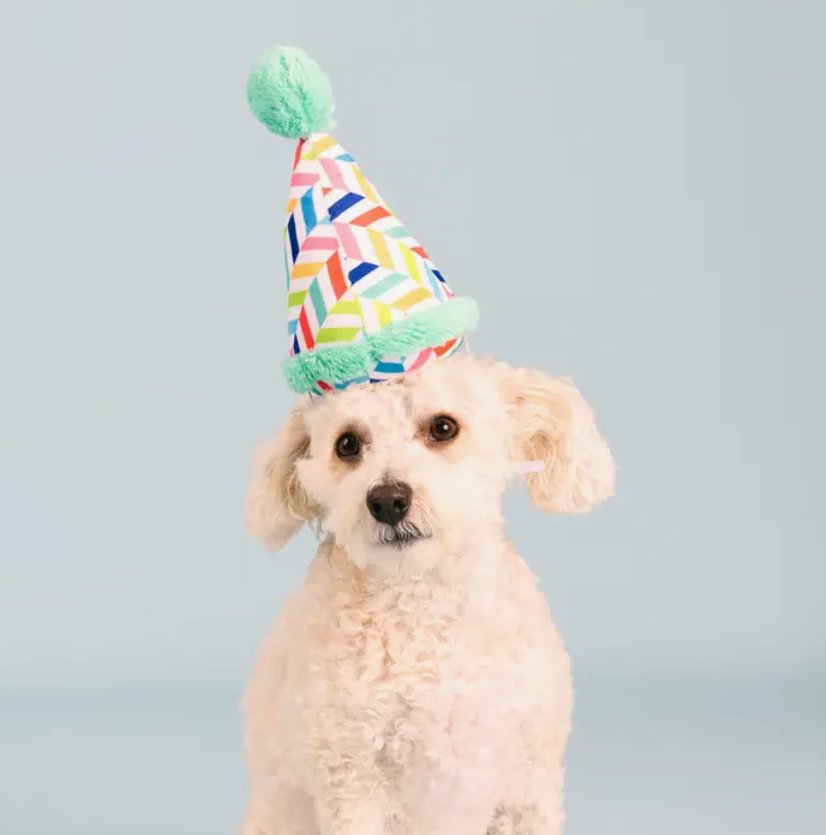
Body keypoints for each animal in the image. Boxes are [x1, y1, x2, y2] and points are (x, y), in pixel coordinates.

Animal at [238, 354, 612, 835]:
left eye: (443, 427)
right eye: (347, 444)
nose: (387, 500)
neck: (423, 605)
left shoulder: (527, 788)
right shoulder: (350, 781)